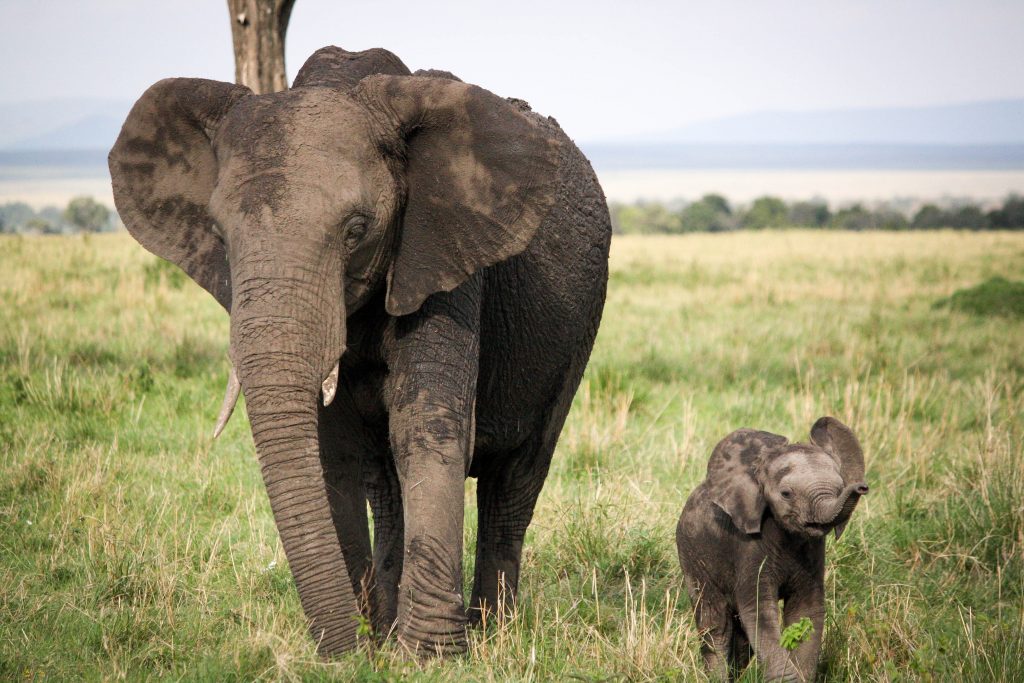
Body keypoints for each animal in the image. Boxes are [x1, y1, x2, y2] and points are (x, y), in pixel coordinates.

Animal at [109, 46, 610, 655]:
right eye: (221, 237)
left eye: (355, 229)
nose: (342, 647)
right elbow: (335, 452)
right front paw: (368, 651)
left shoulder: (444, 255)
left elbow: (427, 427)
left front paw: (429, 656)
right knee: (384, 481)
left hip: (575, 333)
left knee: (516, 478)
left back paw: (493, 633)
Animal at [675, 417, 868, 683]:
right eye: (786, 494)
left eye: (840, 488)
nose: (862, 487)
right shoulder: (746, 546)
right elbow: (759, 612)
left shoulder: (813, 552)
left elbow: (807, 610)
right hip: (692, 555)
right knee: (715, 624)